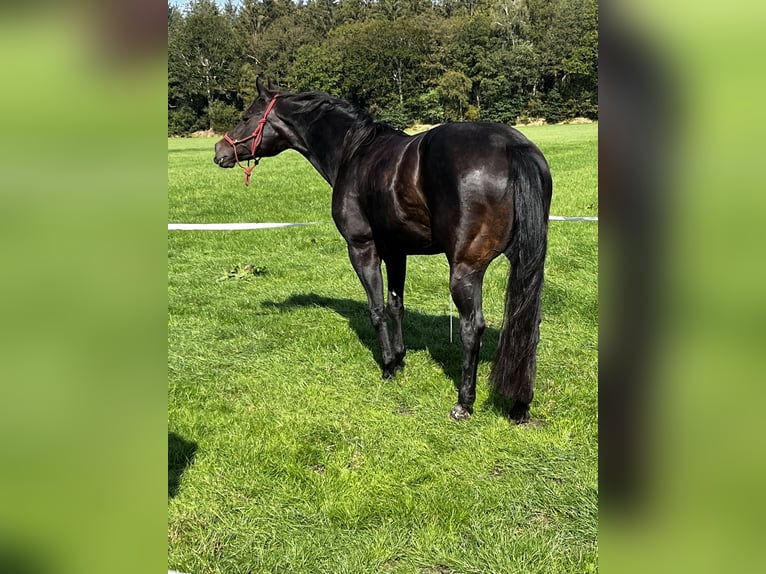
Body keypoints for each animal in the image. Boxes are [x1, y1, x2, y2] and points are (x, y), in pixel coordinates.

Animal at [214, 78, 552, 423]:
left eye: (246, 116)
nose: (219, 151)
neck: (354, 152)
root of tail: (511, 147)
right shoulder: (396, 252)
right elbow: (395, 305)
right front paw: (400, 358)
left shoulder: (362, 248)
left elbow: (376, 309)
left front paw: (388, 365)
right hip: (525, 262)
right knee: (527, 323)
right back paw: (520, 404)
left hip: (465, 270)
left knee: (473, 327)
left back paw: (464, 403)